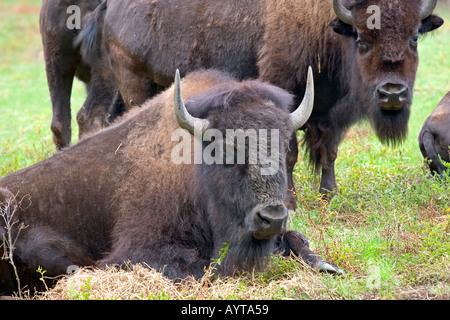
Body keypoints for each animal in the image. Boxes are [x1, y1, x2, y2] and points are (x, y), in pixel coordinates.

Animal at [77, 0, 442, 202]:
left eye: (414, 37)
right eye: (363, 40)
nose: (392, 93)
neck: (326, 27)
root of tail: (111, 6)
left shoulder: (331, 114)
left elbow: (329, 152)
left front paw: (329, 194)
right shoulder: (285, 92)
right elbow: (289, 152)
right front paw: (291, 200)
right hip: (132, 80)